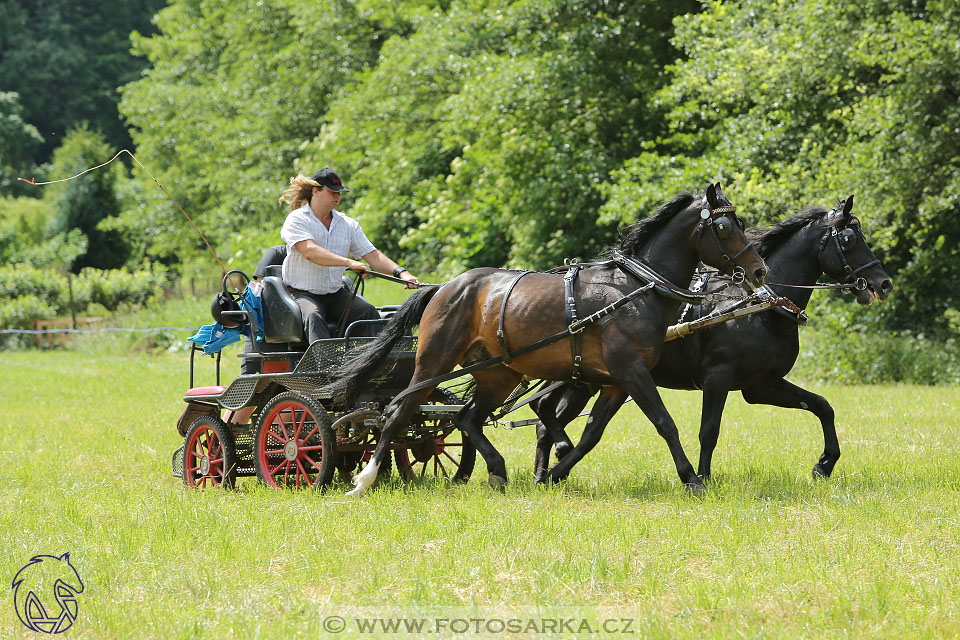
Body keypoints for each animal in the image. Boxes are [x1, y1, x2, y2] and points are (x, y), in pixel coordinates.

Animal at [334, 182, 768, 498]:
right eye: (725, 227)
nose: (759, 270)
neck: (636, 287)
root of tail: (445, 287)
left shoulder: (615, 382)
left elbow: (592, 434)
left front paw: (555, 472)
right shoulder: (631, 373)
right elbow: (666, 423)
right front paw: (692, 479)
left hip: (499, 374)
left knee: (466, 417)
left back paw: (498, 471)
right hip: (433, 362)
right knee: (398, 412)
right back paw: (364, 480)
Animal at [532, 195, 892, 484]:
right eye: (849, 238)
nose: (883, 283)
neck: (757, 308)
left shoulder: (762, 386)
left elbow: (822, 406)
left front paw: (825, 465)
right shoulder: (718, 376)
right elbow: (709, 431)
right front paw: (702, 477)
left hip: (585, 379)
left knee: (545, 415)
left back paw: (543, 473)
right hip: (581, 378)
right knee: (543, 410)